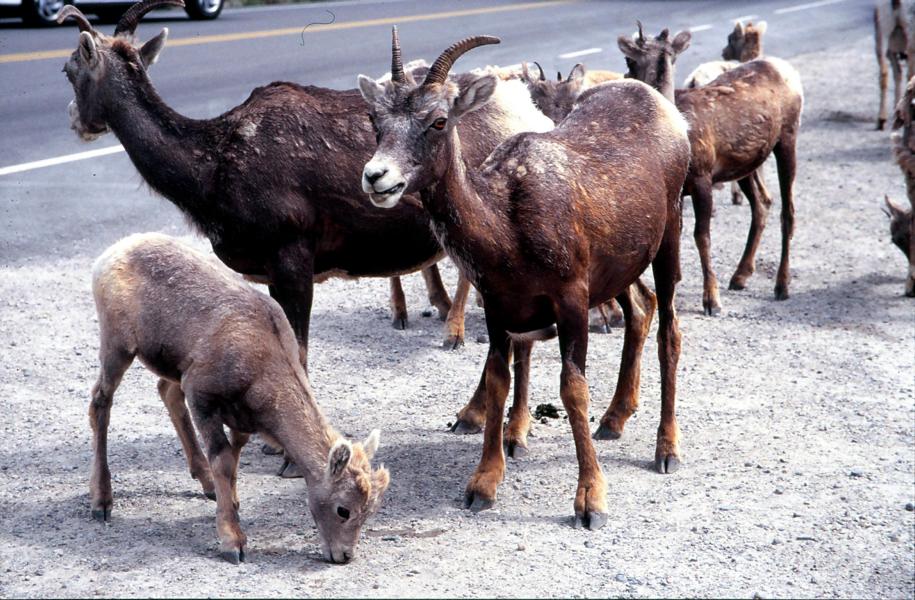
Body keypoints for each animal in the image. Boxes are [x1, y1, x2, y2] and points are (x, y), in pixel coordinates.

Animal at [57, 3, 548, 360]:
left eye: (69, 69)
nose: (76, 121)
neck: (210, 171)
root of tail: (527, 109)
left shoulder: (291, 258)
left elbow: (300, 354)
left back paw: (456, 334)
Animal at [91, 233, 392, 564]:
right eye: (343, 509)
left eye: (371, 510)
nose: (344, 555)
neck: (261, 366)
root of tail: (115, 251)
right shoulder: (202, 397)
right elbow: (222, 459)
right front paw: (233, 543)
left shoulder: (239, 419)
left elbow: (233, 461)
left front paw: (231, 504)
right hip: (117, 346)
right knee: (100, 401)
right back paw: (101, 503)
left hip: (171, 365)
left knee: (166, 392)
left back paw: (207, 485)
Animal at [358, 35, 688, 528]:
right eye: (375, 121)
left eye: (439, 120)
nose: (377, 177)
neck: (507, 226)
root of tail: (667, 112)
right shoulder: (499, 306)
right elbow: (499, 379)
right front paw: (483, 485)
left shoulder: (572, 299)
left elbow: (572, 389)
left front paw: (591, 500)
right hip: (621, 268)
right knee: (641, 309)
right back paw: (613, 420)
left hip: (669, 238)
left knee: (669, 329)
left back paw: (667, 450)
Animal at [620, 25, 804, 314]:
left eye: (629, 59)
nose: (626, 76)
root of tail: (786, 68)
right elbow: (678, 237)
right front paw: (677, 282)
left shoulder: (702, 176)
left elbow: (702, 236)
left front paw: (711, 299)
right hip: (743, 164)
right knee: (761, 204)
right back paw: (740, 275)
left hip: (788, 135)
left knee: (788, 210)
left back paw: (781, 284)